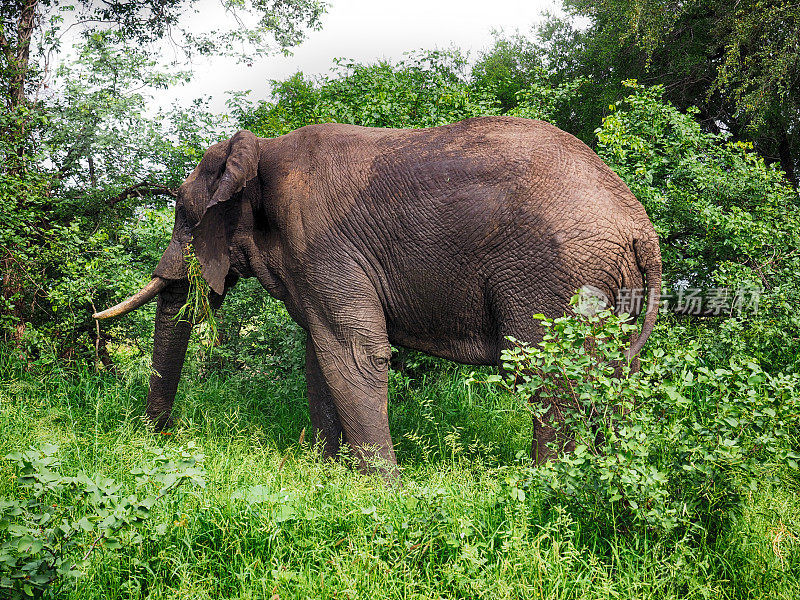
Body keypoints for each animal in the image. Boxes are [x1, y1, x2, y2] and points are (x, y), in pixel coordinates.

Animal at [94, 117, 660, 478]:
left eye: (185, 215)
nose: (160, 438)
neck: (262, 151)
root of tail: (639, 226)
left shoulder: (320, 241)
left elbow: (353, 353)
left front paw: (382, 493)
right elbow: (320, 356)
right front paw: (325, 475)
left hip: (555, 273)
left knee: (549, 374)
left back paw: (544, 486)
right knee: (615, 377)